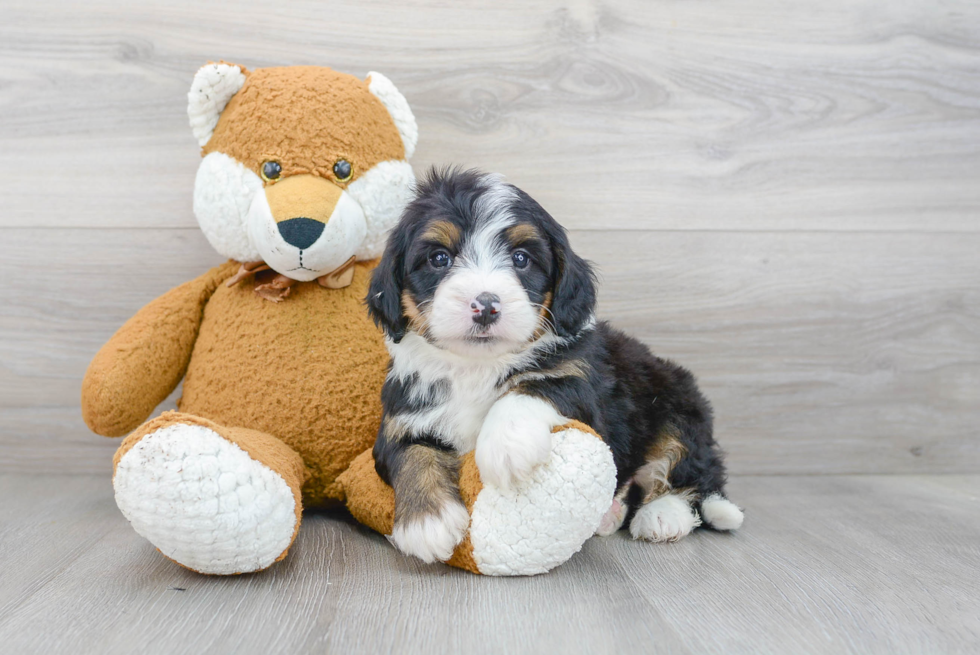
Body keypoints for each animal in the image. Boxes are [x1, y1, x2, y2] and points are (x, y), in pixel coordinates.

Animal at [368, 169, 744, 564]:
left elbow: (534, 385)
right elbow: (411, 453)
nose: (485, 305)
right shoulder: (402, 414)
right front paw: (427, 521)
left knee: (688, 473)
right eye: (439, 258)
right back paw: (611, 514)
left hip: (679, 404)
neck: (478, 366)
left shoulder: (583, 383)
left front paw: (506, 445)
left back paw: (662, 515)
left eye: (520, 258)